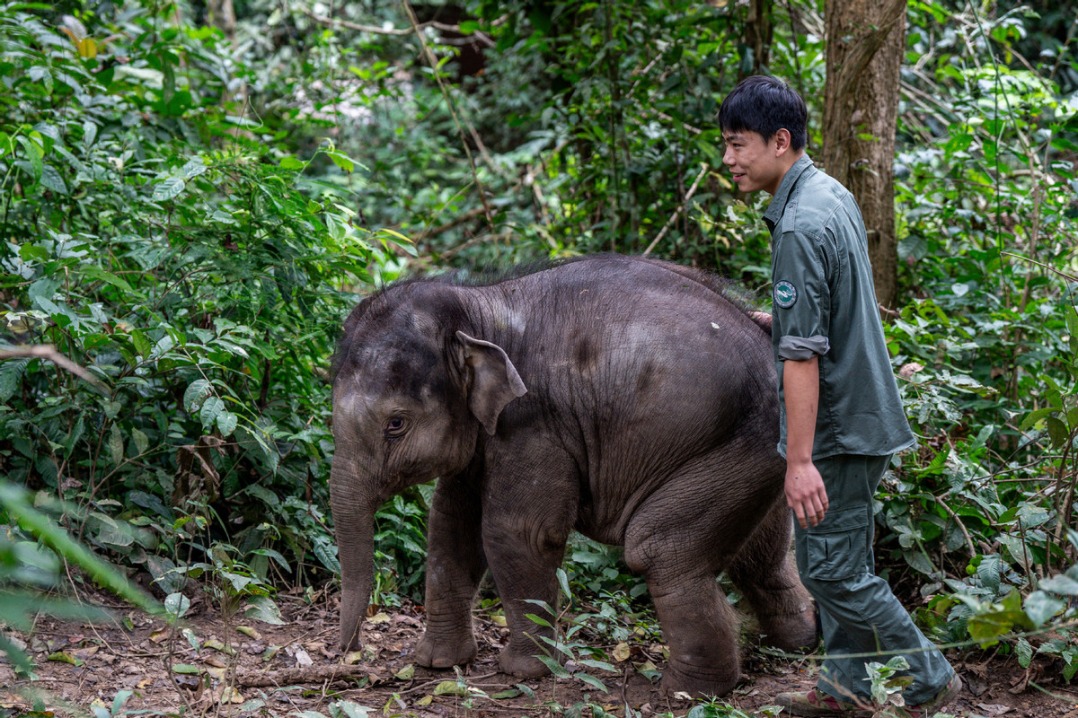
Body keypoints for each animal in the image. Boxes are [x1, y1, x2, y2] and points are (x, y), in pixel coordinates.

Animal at [329, 253, 814, 694]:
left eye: (396, 424)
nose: (348, 655)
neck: (479, 306)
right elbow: (450, 527)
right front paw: (438, 663)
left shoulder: (535, 423)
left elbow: (516, 533)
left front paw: (525, 672)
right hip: (755, 454)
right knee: (761, 556)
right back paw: (799, 643)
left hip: (737, 444)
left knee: (660, 550)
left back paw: (687, 691)